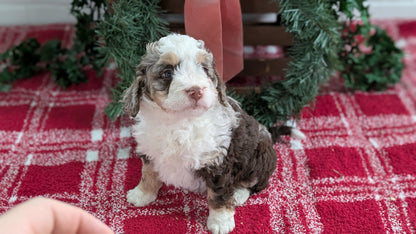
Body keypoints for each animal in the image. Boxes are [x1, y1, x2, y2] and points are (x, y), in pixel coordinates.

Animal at [122, 33, 300, 233]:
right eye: (167, 73)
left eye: (204, 70)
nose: (196, 90)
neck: (179, 121)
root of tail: (269, 136)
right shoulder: (149, 150)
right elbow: (148, 173)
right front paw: (141, 194)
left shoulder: (218, 161)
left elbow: (219, 194)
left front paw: (220, 222)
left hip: (259, 159)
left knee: (257, 183)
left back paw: (238, 194)